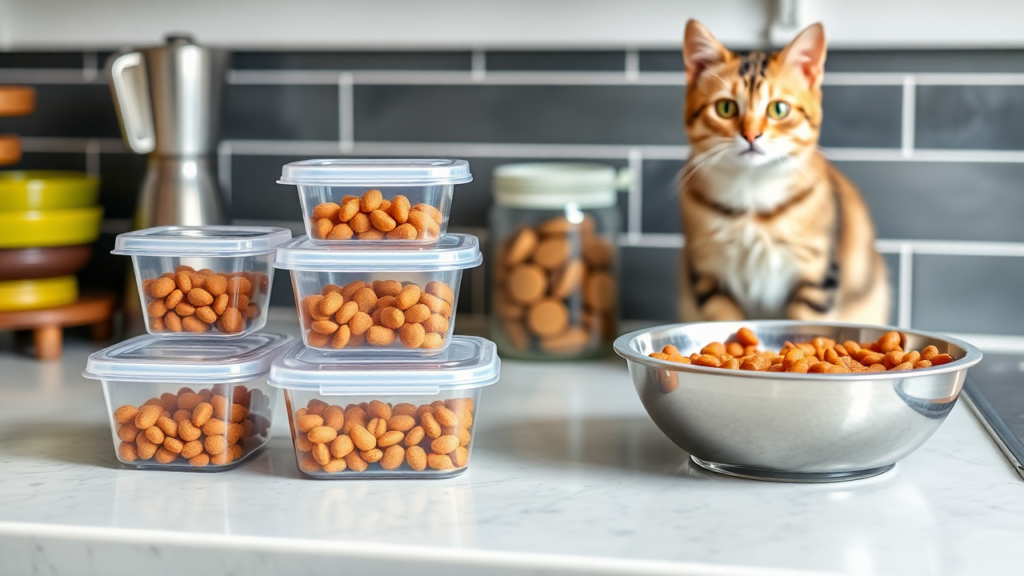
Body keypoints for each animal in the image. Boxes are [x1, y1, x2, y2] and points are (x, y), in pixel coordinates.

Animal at [679, 20, 888, 323]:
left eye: (779, 109)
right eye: (725, 107)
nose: (751, 135)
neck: (752, 195)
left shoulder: (817, 275)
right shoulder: (707, 273)